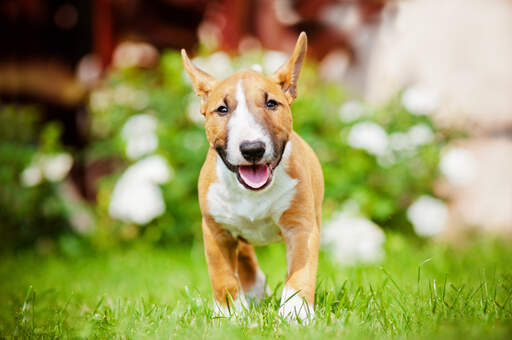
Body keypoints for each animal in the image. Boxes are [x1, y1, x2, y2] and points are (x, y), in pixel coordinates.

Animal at [181, 31, 324, 322]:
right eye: (222, 109)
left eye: (271, 103)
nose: (252, 149)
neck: (252, 192)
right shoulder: (215, 230)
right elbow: (223, 275)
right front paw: (230, 313)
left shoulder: (301, 225)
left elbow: (300, 271)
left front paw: (295, 312)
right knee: (245, 253)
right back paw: (254, 291)